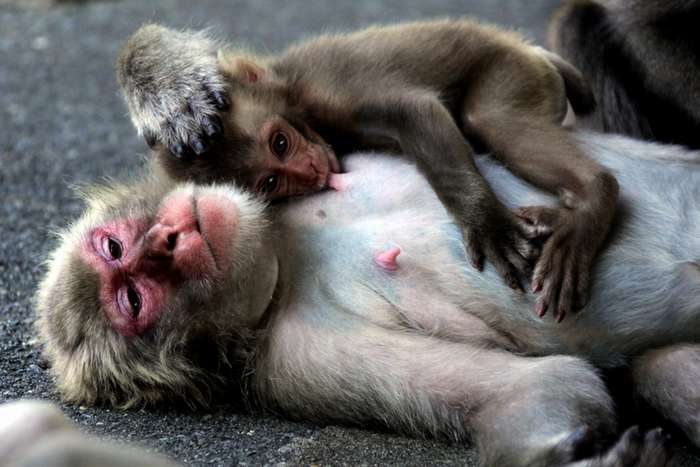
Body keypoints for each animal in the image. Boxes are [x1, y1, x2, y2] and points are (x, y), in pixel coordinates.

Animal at [39, 131, 700, 466]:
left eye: (113, 248)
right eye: (134, 299)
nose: (167, 243)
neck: (285, 254)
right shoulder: (296, 359)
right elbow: (551, 383)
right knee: (659, 367)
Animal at [116, 21, 621, 320]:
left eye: (280, 142)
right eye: (272, 181)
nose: (310, 170)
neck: (297, 101)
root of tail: (530, 51)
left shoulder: (327, 94)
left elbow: (415, 113)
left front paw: (487, 224)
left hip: (512, 71)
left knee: (490, 118)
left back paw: (595, 198)